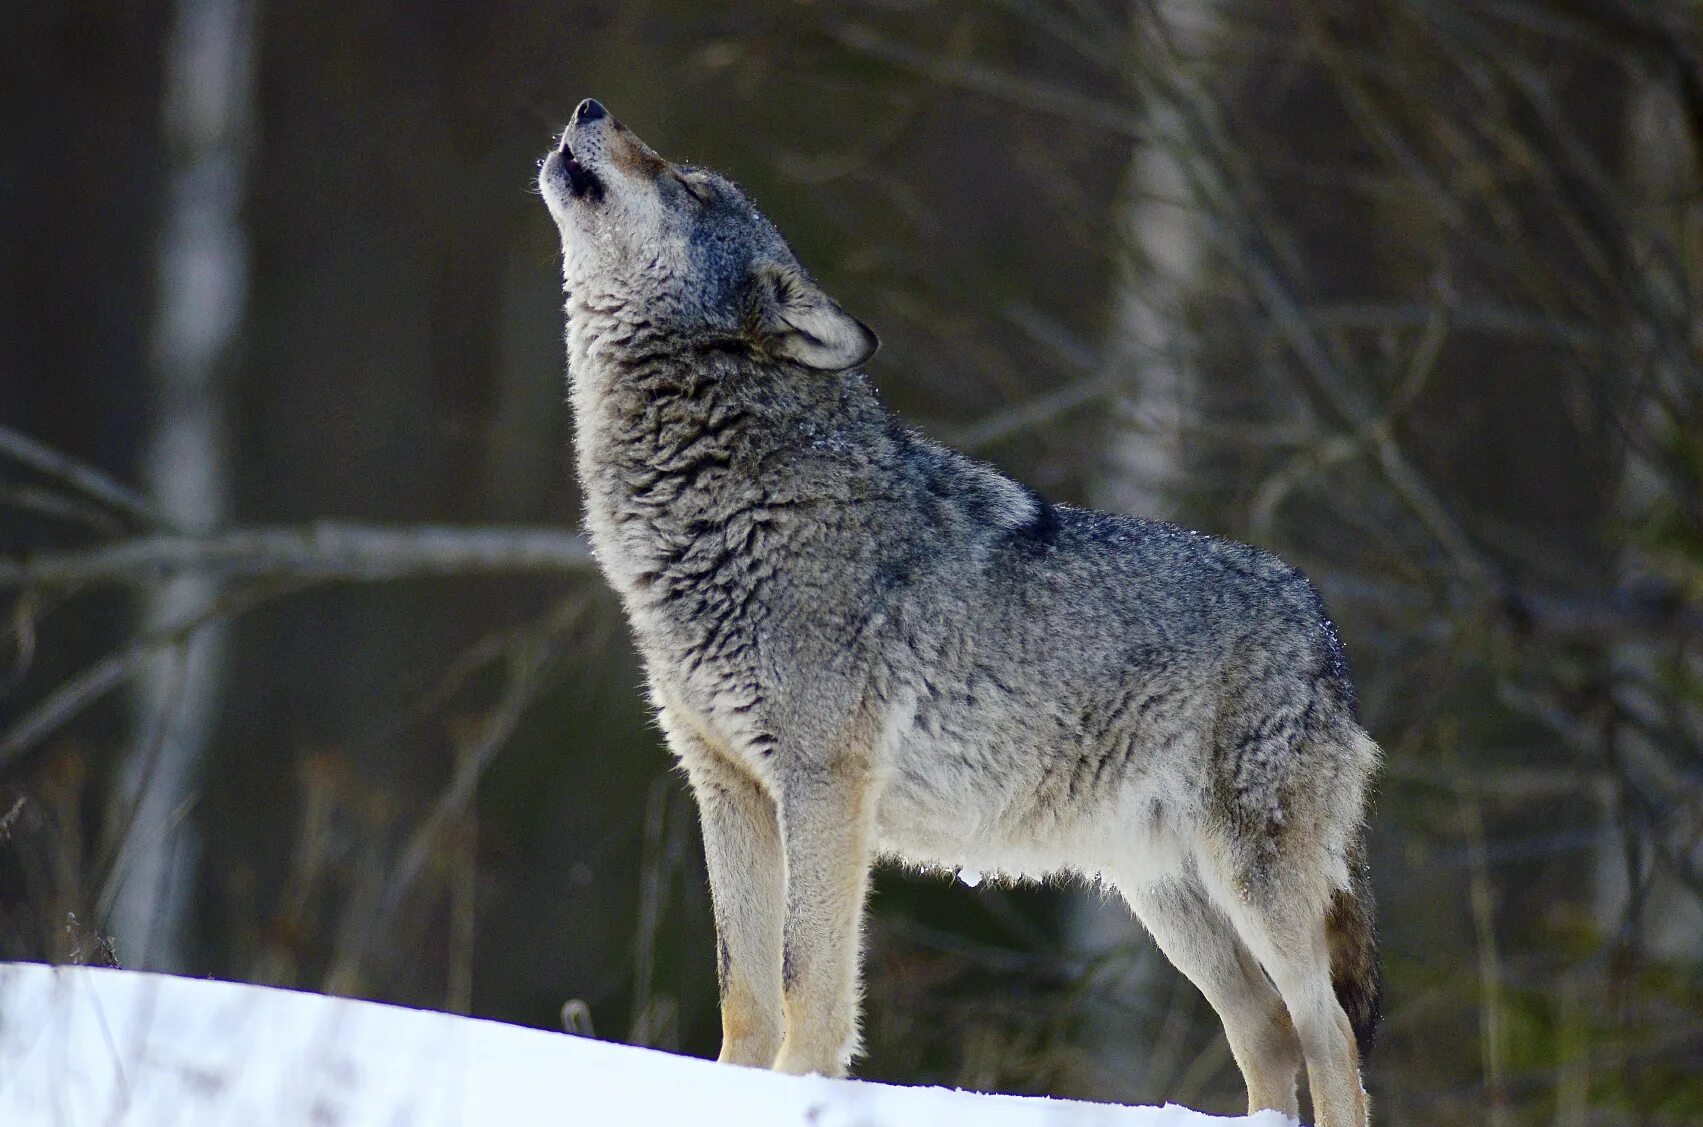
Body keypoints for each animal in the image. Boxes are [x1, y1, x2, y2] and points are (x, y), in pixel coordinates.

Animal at [538, 97, 1376, 1127]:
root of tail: (1321, 626)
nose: (590, 107)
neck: (725, 494)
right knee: (1266, 1030)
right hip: (1167, 898)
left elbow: (805, 974)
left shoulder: (825, 784)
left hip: (1250, 886)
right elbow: (743, 986)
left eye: (687, 184)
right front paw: (725, 1089)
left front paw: (798, 1089)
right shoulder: (726, 785)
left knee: (1327, 1032)